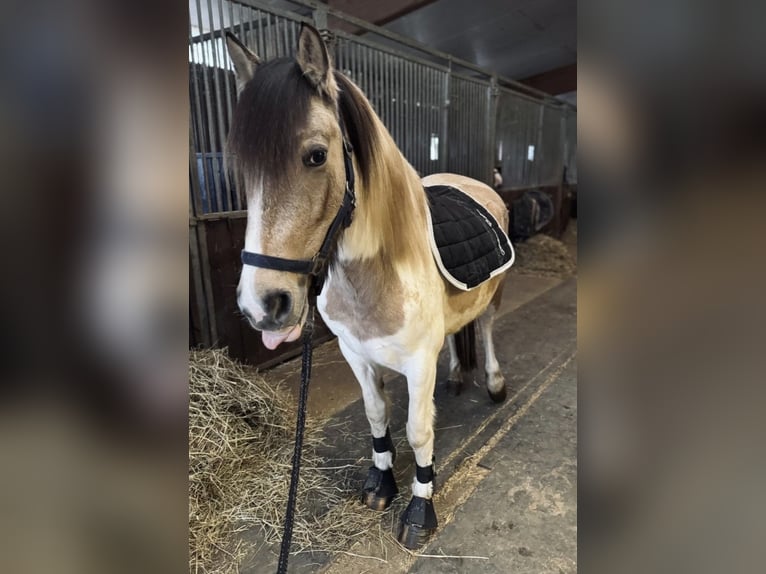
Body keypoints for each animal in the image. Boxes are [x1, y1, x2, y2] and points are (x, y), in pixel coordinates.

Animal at [226, 24, 512, 549]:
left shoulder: (418, 363)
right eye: (241, 168)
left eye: (316, 156)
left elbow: (419, 431)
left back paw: (494, 384)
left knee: (484, 328)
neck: (376, 276)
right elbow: (377, 414)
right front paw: (381, 483)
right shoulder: (356, 354)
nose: (262, 306)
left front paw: (420, 508)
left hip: (494, 296)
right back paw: (457, 376)